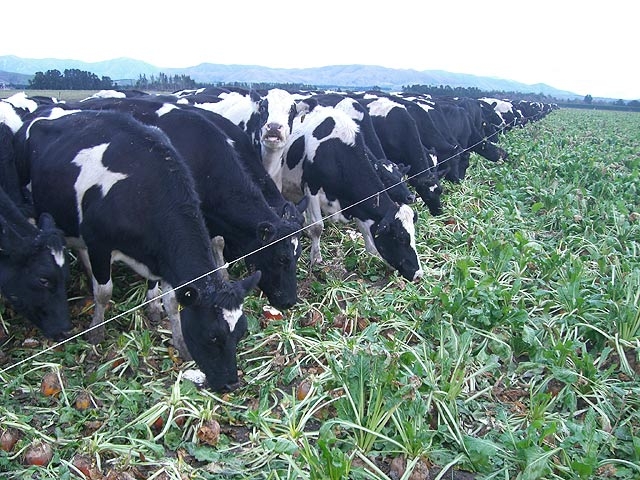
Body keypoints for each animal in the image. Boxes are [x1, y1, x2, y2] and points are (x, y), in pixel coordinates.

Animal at [12, 108, 261, 392]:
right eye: (212, 337)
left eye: (241, 333)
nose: (231, 384)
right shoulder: (99, 243)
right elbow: (104, 292)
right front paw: (96, 331)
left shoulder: (165, 260)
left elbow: (171, 301)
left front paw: (181, 344)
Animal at [282, 105, 424, 281]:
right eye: (400, 238)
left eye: (413, 235)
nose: (418, 274)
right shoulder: (311, 187)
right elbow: (317, 226)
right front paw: (316, 258)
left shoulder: (356, 203)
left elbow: (363, 227)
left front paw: (373, 254)